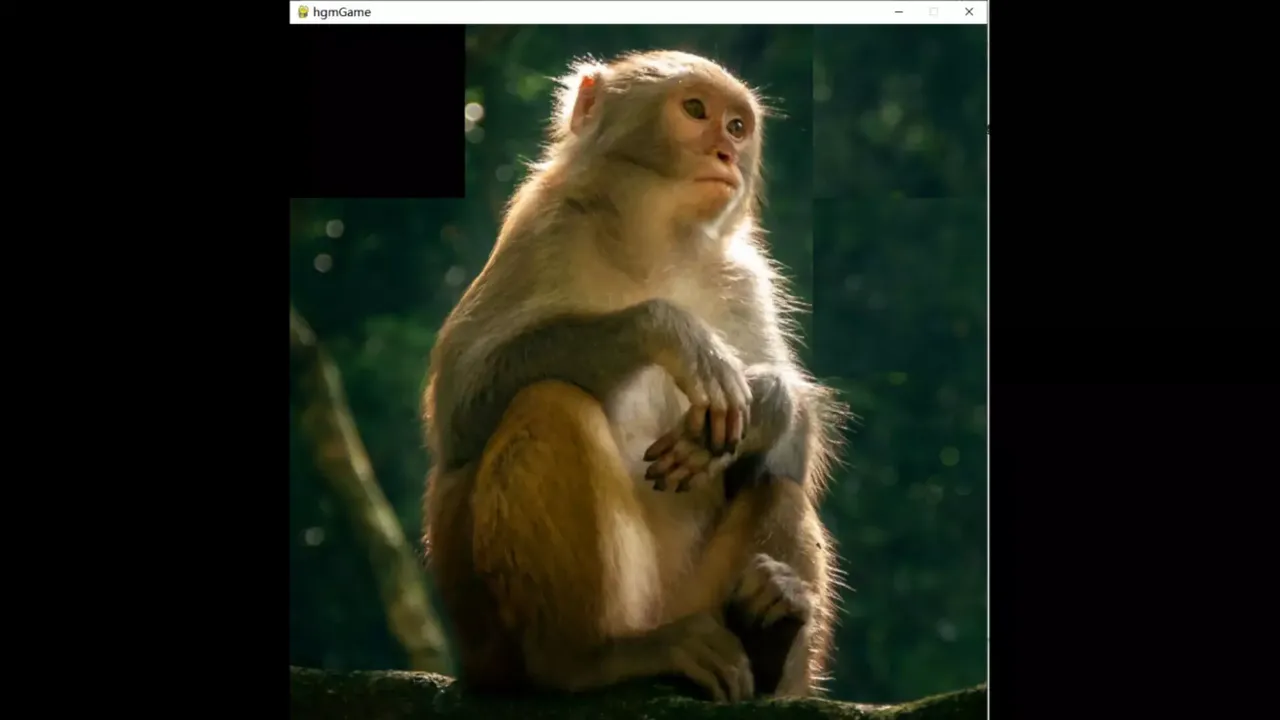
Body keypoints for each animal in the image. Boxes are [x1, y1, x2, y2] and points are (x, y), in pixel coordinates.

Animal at [421, 50, 848, 703]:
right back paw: (586, 659)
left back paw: (769, 640)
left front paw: (767, 405)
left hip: (694, 600)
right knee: (548, 403)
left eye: (737, 127)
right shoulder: (543, 231)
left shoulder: (744, 277)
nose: (726, 154)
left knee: (777, 487)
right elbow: (460, 415)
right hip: (494, 631)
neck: (656, 242)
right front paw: (672, 331)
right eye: (695, 110)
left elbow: (789, 456)